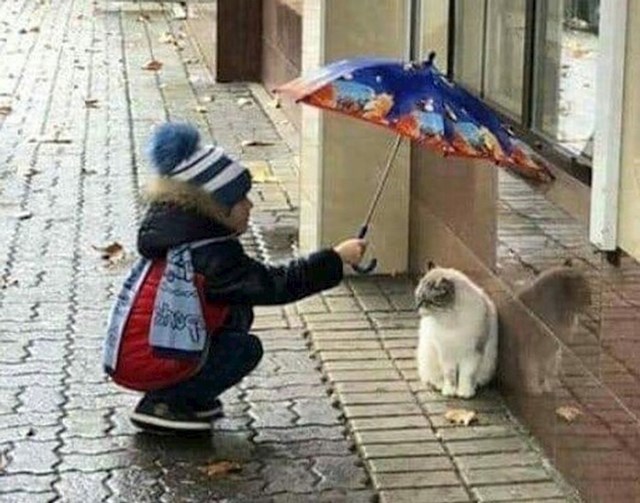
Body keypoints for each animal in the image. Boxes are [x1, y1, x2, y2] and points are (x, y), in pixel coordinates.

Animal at [416, 266, 500, 400]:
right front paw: (449, 391)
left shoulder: (472, 353)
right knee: (432, 378)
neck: (450, 320)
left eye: (426, 301)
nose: (417, 307)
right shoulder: (446, 353)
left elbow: (466, 375)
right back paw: (440, 385)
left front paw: (464, 392)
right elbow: (450, 376)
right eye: (418, 298)